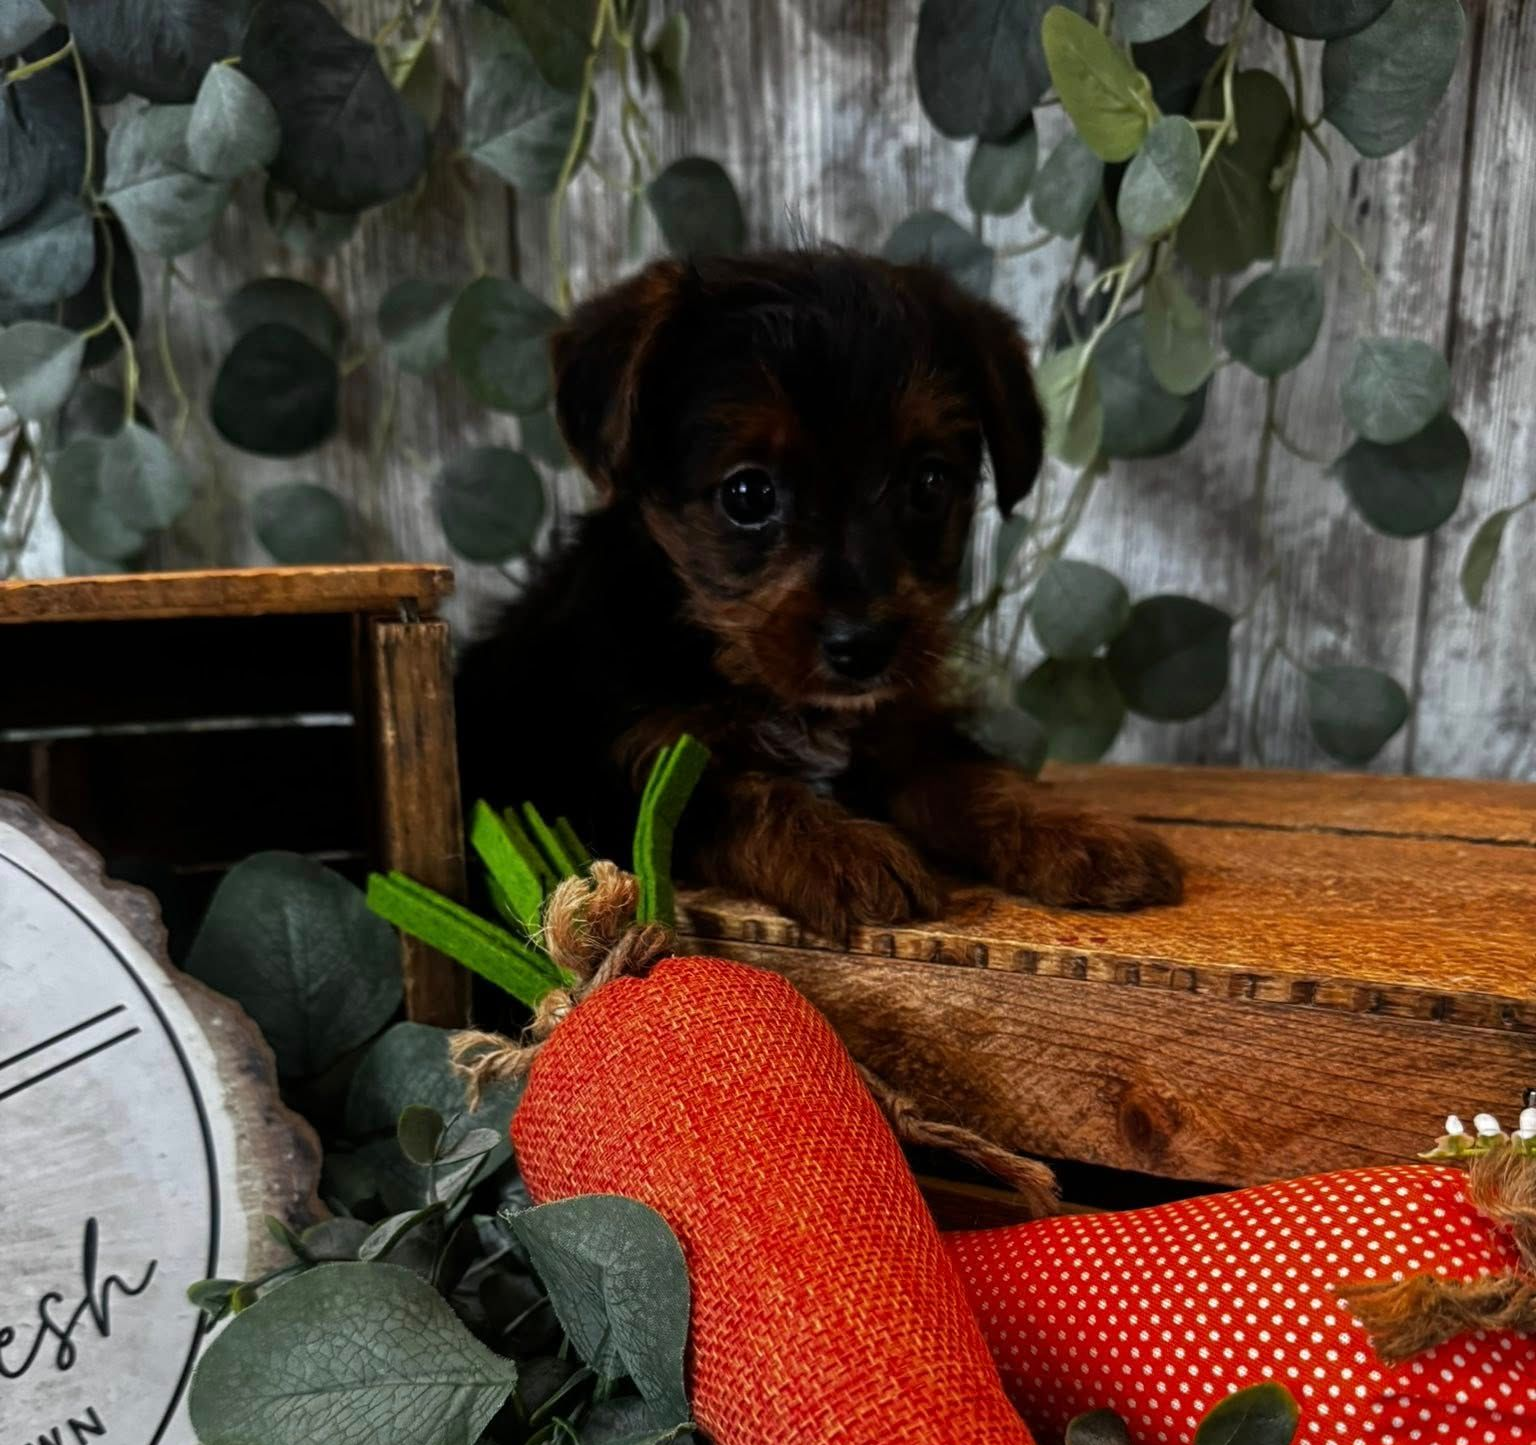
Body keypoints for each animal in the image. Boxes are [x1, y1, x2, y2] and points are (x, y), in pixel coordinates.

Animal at [455, 249, 1182, 940]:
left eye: (928, 482)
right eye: (748, 494)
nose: (864, 647)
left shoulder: (898, 729)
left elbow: (967, 772)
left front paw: (1078, 831)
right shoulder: (614, 774)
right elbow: (733, 792)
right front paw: (840, 849)